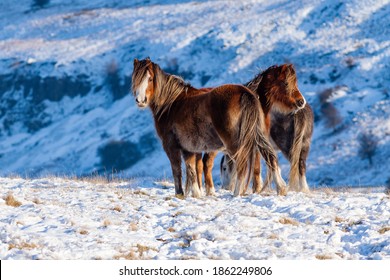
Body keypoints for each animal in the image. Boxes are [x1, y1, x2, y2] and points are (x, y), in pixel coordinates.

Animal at [131, 57, 286, 197]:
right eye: (136, 79)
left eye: (150, 79)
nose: (140, 100)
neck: (171, 104)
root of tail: (246, 93)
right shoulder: (188, 149)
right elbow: (192, 170)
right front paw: (197, 194)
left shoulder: (171, 147)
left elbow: (177, 171)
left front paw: (180, 194)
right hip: (258, 136)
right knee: (270, 157)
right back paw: (281, 189)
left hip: (234, 144)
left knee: (242, 165)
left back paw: (236, 193)